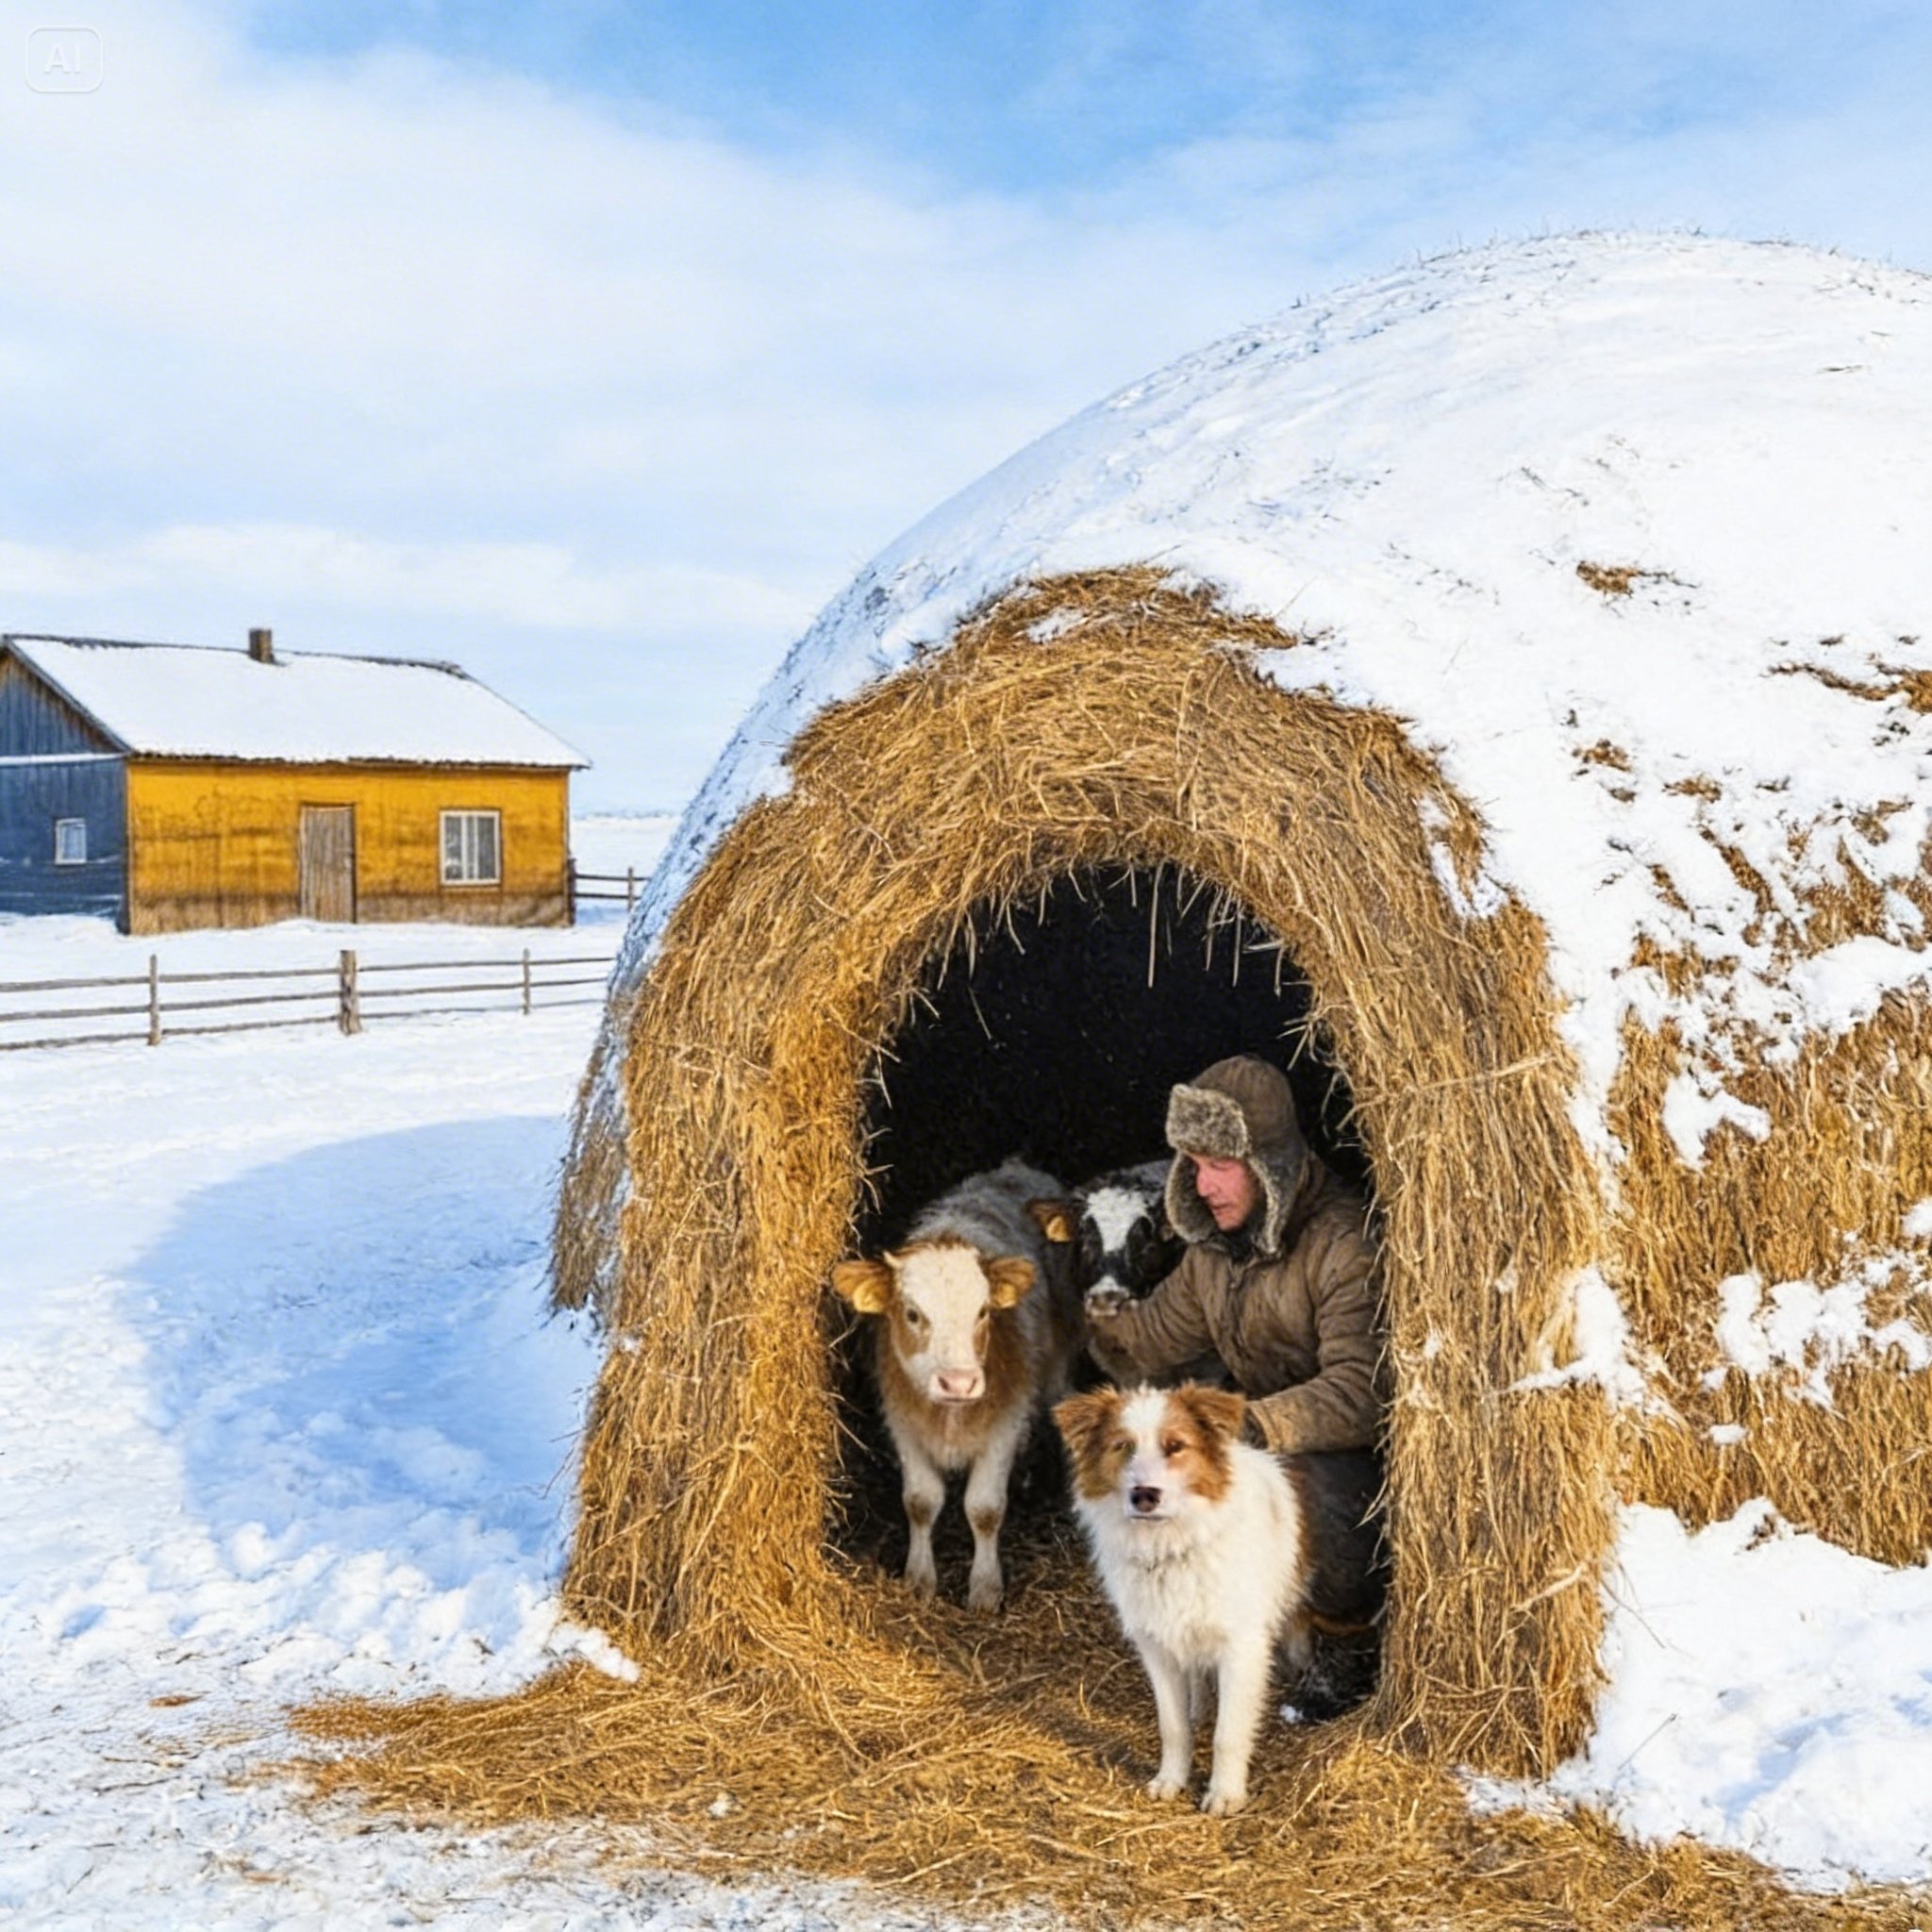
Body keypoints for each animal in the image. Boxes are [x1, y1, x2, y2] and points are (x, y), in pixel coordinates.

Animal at [831, 1158, 1077, 1611]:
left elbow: (984, 1509)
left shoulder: (1005, 1424)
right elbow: (920, 1502)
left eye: (983, 1312)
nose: (959, 1383)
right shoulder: (903, 1423)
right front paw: (918, 1579)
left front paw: (985, 1588)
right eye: (912, 1314)